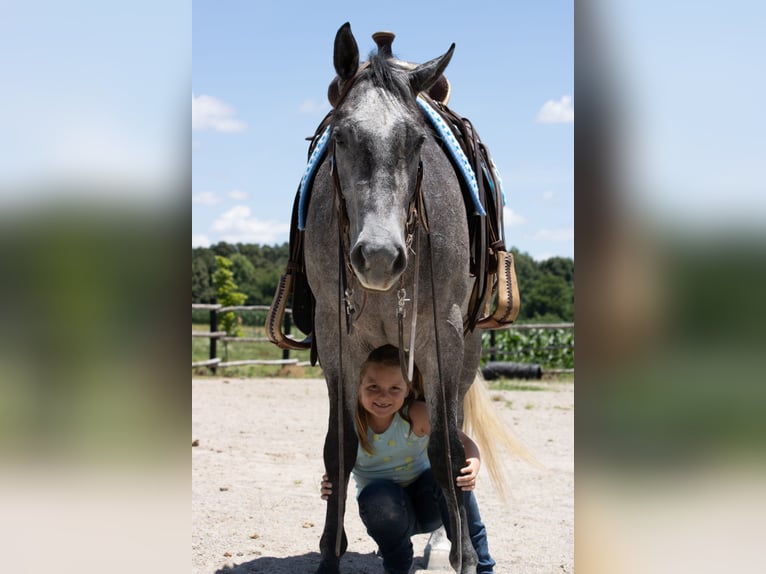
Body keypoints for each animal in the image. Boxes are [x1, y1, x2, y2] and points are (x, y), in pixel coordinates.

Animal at [303, 23, 485, 574]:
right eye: (341, 135)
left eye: (417, 139)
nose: (380, 257)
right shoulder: (337, 342)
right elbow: (339, 449)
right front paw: (329, 556)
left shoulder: (441, 339)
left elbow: (447, 450)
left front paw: (463, 556)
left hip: (466, 352)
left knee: (457, 433)